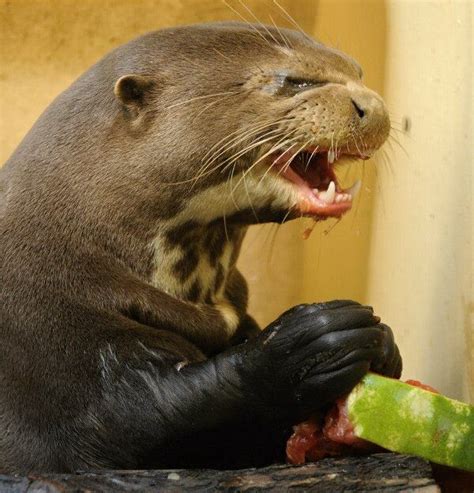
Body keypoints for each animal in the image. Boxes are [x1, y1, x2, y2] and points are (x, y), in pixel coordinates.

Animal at [0, 24, 400, 472]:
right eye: (295, 81)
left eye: (357, 70)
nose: (374, 106)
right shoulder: (59, 348)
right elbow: (146, 412)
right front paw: (305, 346)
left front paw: (385, 345)